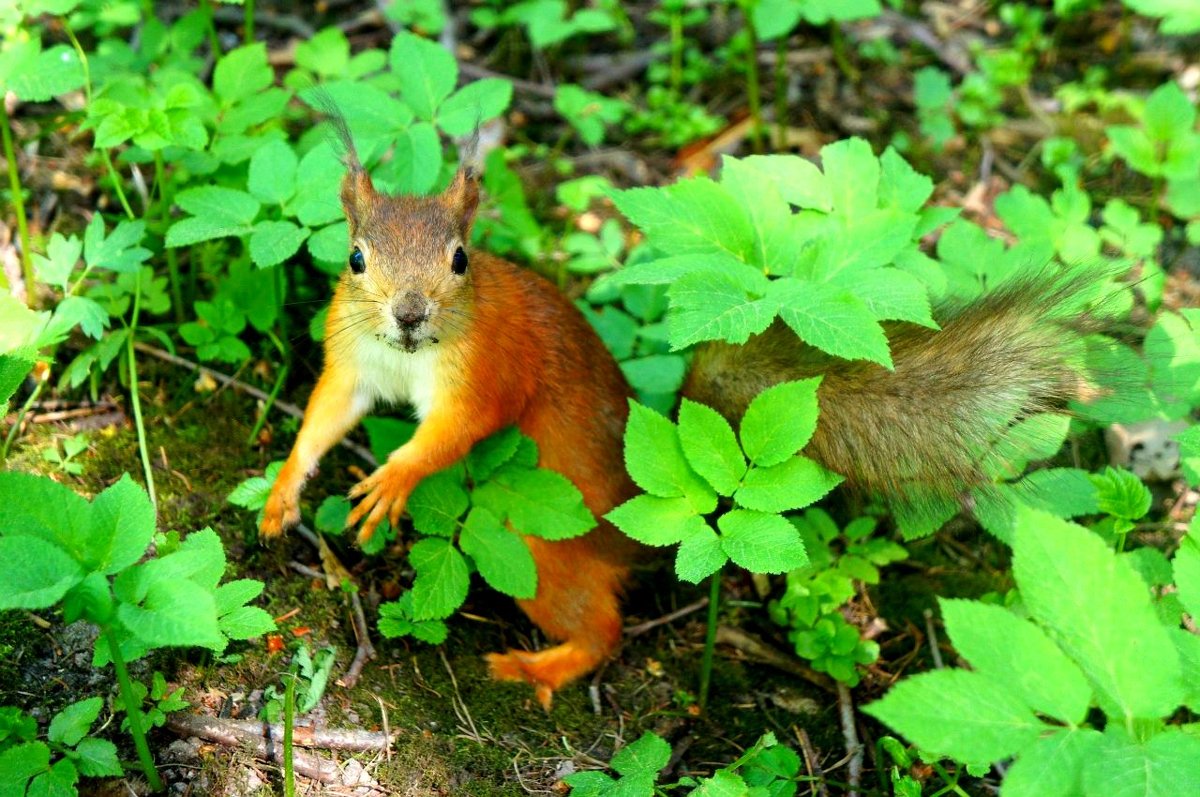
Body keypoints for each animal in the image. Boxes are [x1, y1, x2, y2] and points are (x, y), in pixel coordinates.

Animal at [260, 133, 1099, 705]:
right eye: (356, 257)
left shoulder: (490, 368)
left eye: (461, 259)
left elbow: (455, 432)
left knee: (602, 628)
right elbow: (329, 411)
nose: (408, 314)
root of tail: (628, 530)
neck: (410, 353)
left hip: (545, 558)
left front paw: (393, 479)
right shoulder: (355, 359)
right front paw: (282, 490)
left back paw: (539, 663)